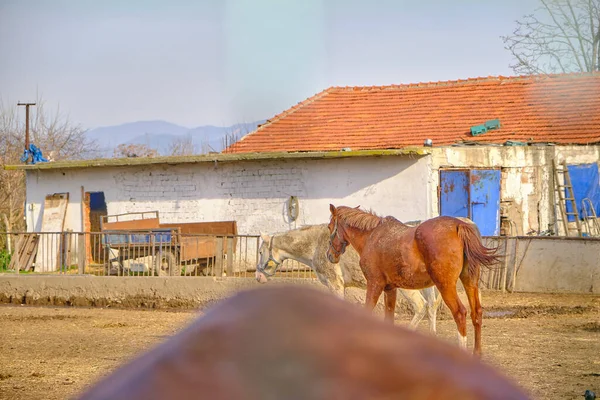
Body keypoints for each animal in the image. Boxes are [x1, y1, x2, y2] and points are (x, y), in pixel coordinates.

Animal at [255, 223, 442, 332]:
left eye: (260, 251)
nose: (258, 277)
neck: (316, 244)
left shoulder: (335, 283)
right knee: (431, 306)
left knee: (421, 306)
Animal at [326, 205, 500, 354]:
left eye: (329, 226)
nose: (330, 255)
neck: (372, 236)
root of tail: (459, 225)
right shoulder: (390, 289)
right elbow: (389, 317)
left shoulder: (374, 285)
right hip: (470, 281)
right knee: (476, 312)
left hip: (445, 286)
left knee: (460, 313)